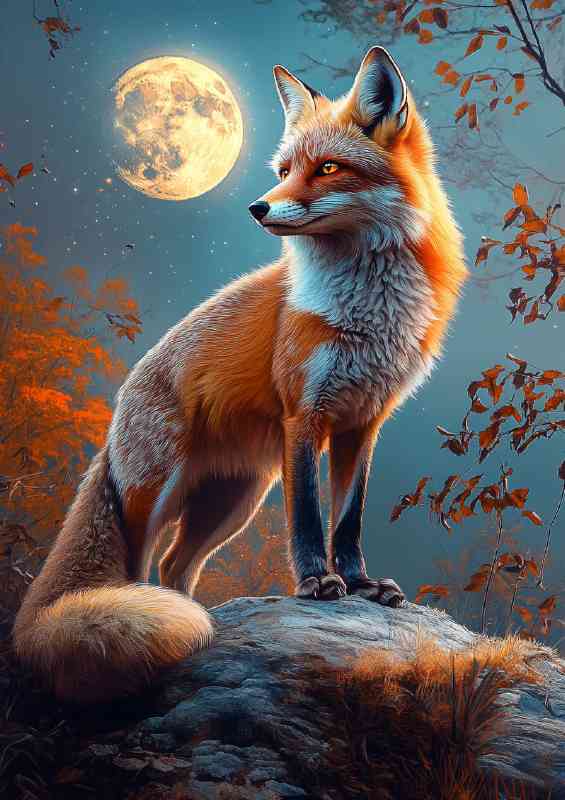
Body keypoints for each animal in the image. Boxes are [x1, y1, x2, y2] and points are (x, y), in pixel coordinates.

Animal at [13, 46, 467, 704]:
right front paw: (316, 585)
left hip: (233, 501)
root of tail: (118, 409)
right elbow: (308, 516)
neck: (368, 310)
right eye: (283, 169)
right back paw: (145, 615)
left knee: (177, 567)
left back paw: (191, 620)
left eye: (328, 168)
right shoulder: (305, 415)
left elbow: (348, 519)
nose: (258, 207)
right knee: (140, 566)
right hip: (158, 494)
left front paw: (360, 585)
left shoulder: (362, 422)